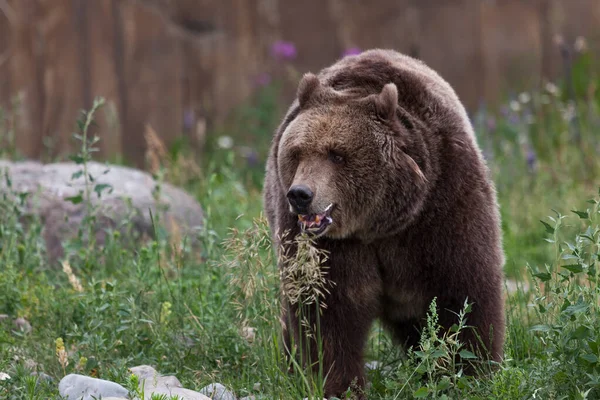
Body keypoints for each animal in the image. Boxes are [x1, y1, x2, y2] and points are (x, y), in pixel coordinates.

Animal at [262, 49, 506, 396]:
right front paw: (340, 384)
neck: (380, 222)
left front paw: (471, 371)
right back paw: (291, 368)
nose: (301, 194)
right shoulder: (330, 246)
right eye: (297, 152)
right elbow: (328, 311)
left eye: (337, 154)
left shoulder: (443, 206)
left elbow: (464, 289)